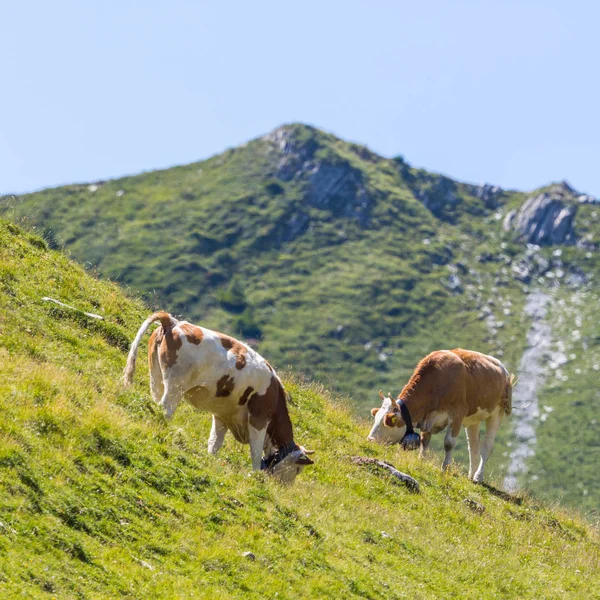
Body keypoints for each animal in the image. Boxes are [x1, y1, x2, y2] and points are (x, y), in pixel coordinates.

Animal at [125, 310, 316, 482]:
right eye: (298, 469)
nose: (284, 486)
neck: (274, 394)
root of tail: (174, 322)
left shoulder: (222, 417)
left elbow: (215, 442)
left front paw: (209, 459)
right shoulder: (259, 418)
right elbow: (255, 451)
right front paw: (255, 475)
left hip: (155, 376)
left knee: (155, 402)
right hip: (176, 385)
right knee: (165, 409)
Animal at [368, 346, 512, 482]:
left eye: (386, 422)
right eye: (375, 418)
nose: (370, 440)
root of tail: (503, 369)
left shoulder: (457, 414)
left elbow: (449, 443)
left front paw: (445, 468)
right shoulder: (428, 418)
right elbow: (424, 441)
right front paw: (421, 460)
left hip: (497, 412)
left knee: (487, 446)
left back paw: (478, 477)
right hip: (473, 419)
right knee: (473, 446)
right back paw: (470, 476)